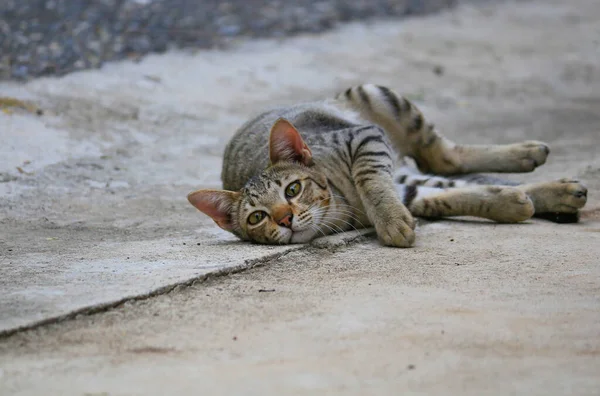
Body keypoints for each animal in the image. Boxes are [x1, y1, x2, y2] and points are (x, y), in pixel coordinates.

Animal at [186, 84, 584, 248]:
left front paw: (390, 221)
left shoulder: (364, 138)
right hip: (406, 171)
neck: (345, 205)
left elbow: (371, 180)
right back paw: (553, 193)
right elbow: (451, 198)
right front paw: (509, 204)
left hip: (380, 97)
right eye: (257, 217)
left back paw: (528, 152)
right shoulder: (408, 192)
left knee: (445, 155)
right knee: (449, 175)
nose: (285, 219)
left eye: (293, 189)